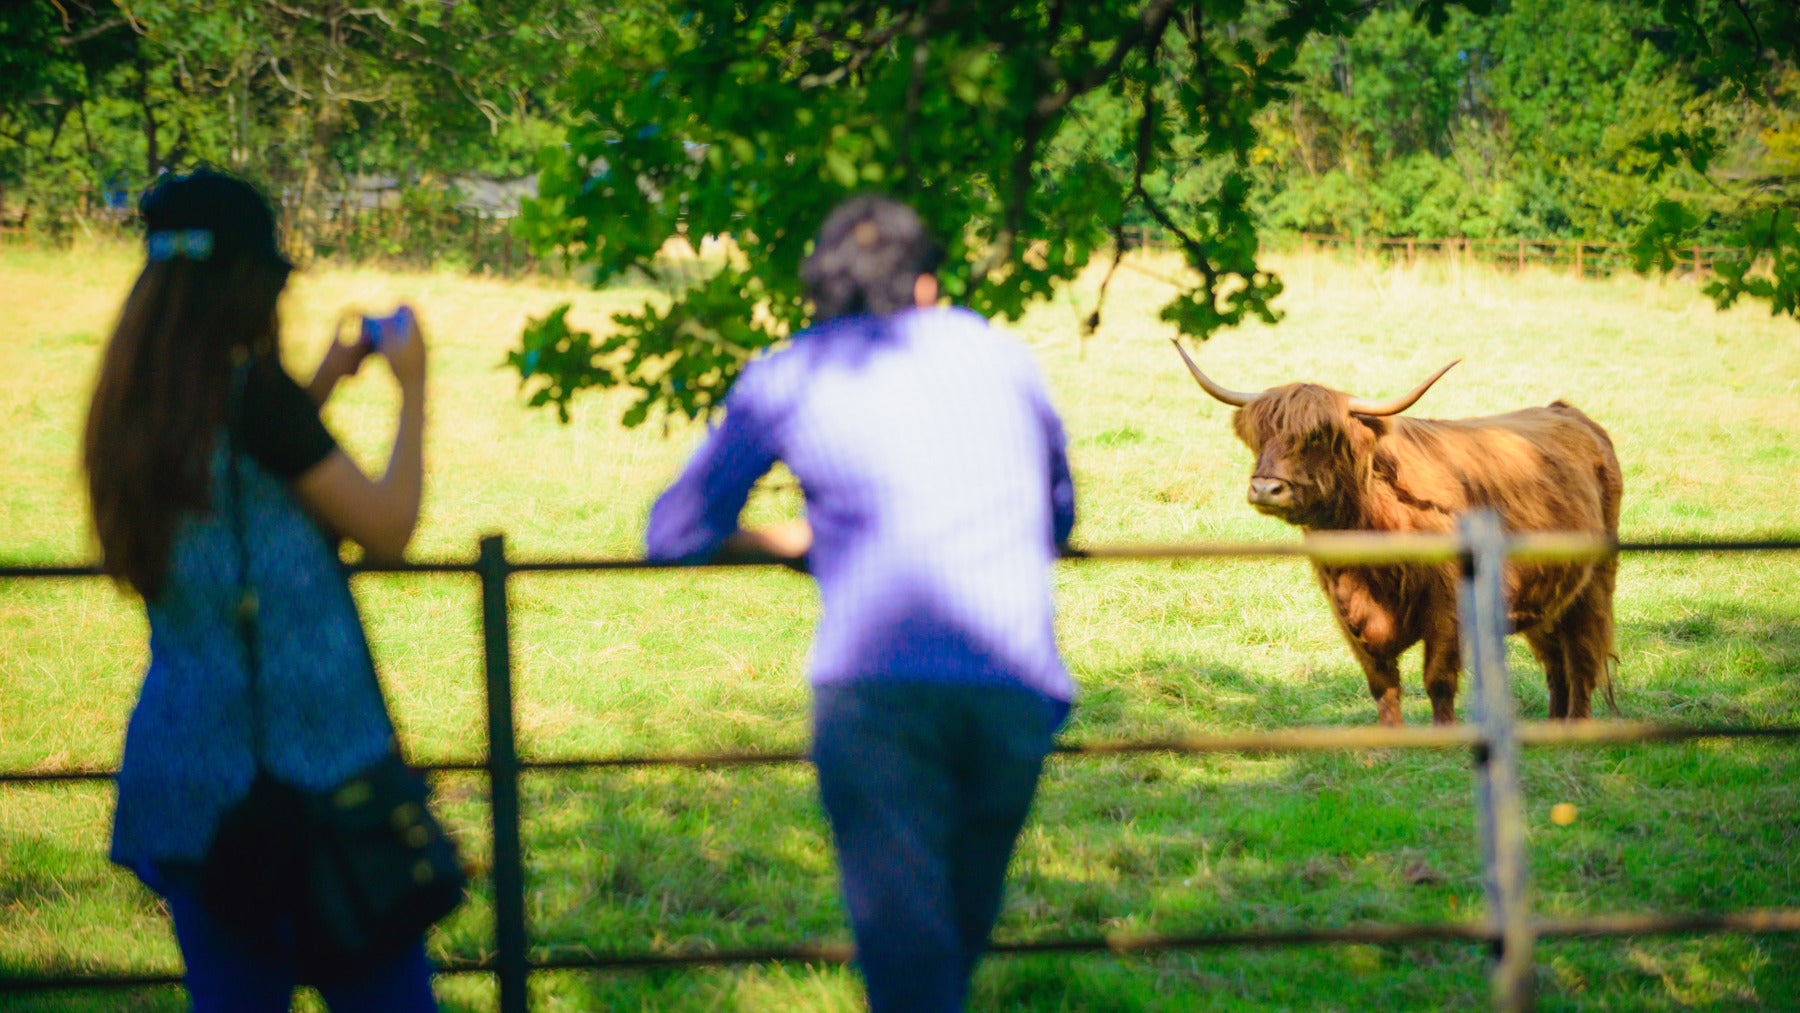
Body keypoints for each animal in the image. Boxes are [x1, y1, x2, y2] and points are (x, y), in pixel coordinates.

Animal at [1171, 339, 1622, 725]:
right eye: (1261, 436)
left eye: (1318, 437)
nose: (1266, 488)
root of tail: (1568, 413)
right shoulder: (1348, 608)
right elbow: (1382, 683)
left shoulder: (1448, 607)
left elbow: (1438, 679)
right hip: (1547, 595)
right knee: (1555, 663)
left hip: (1594, 586)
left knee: (1582, 658)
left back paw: (1576, 727)